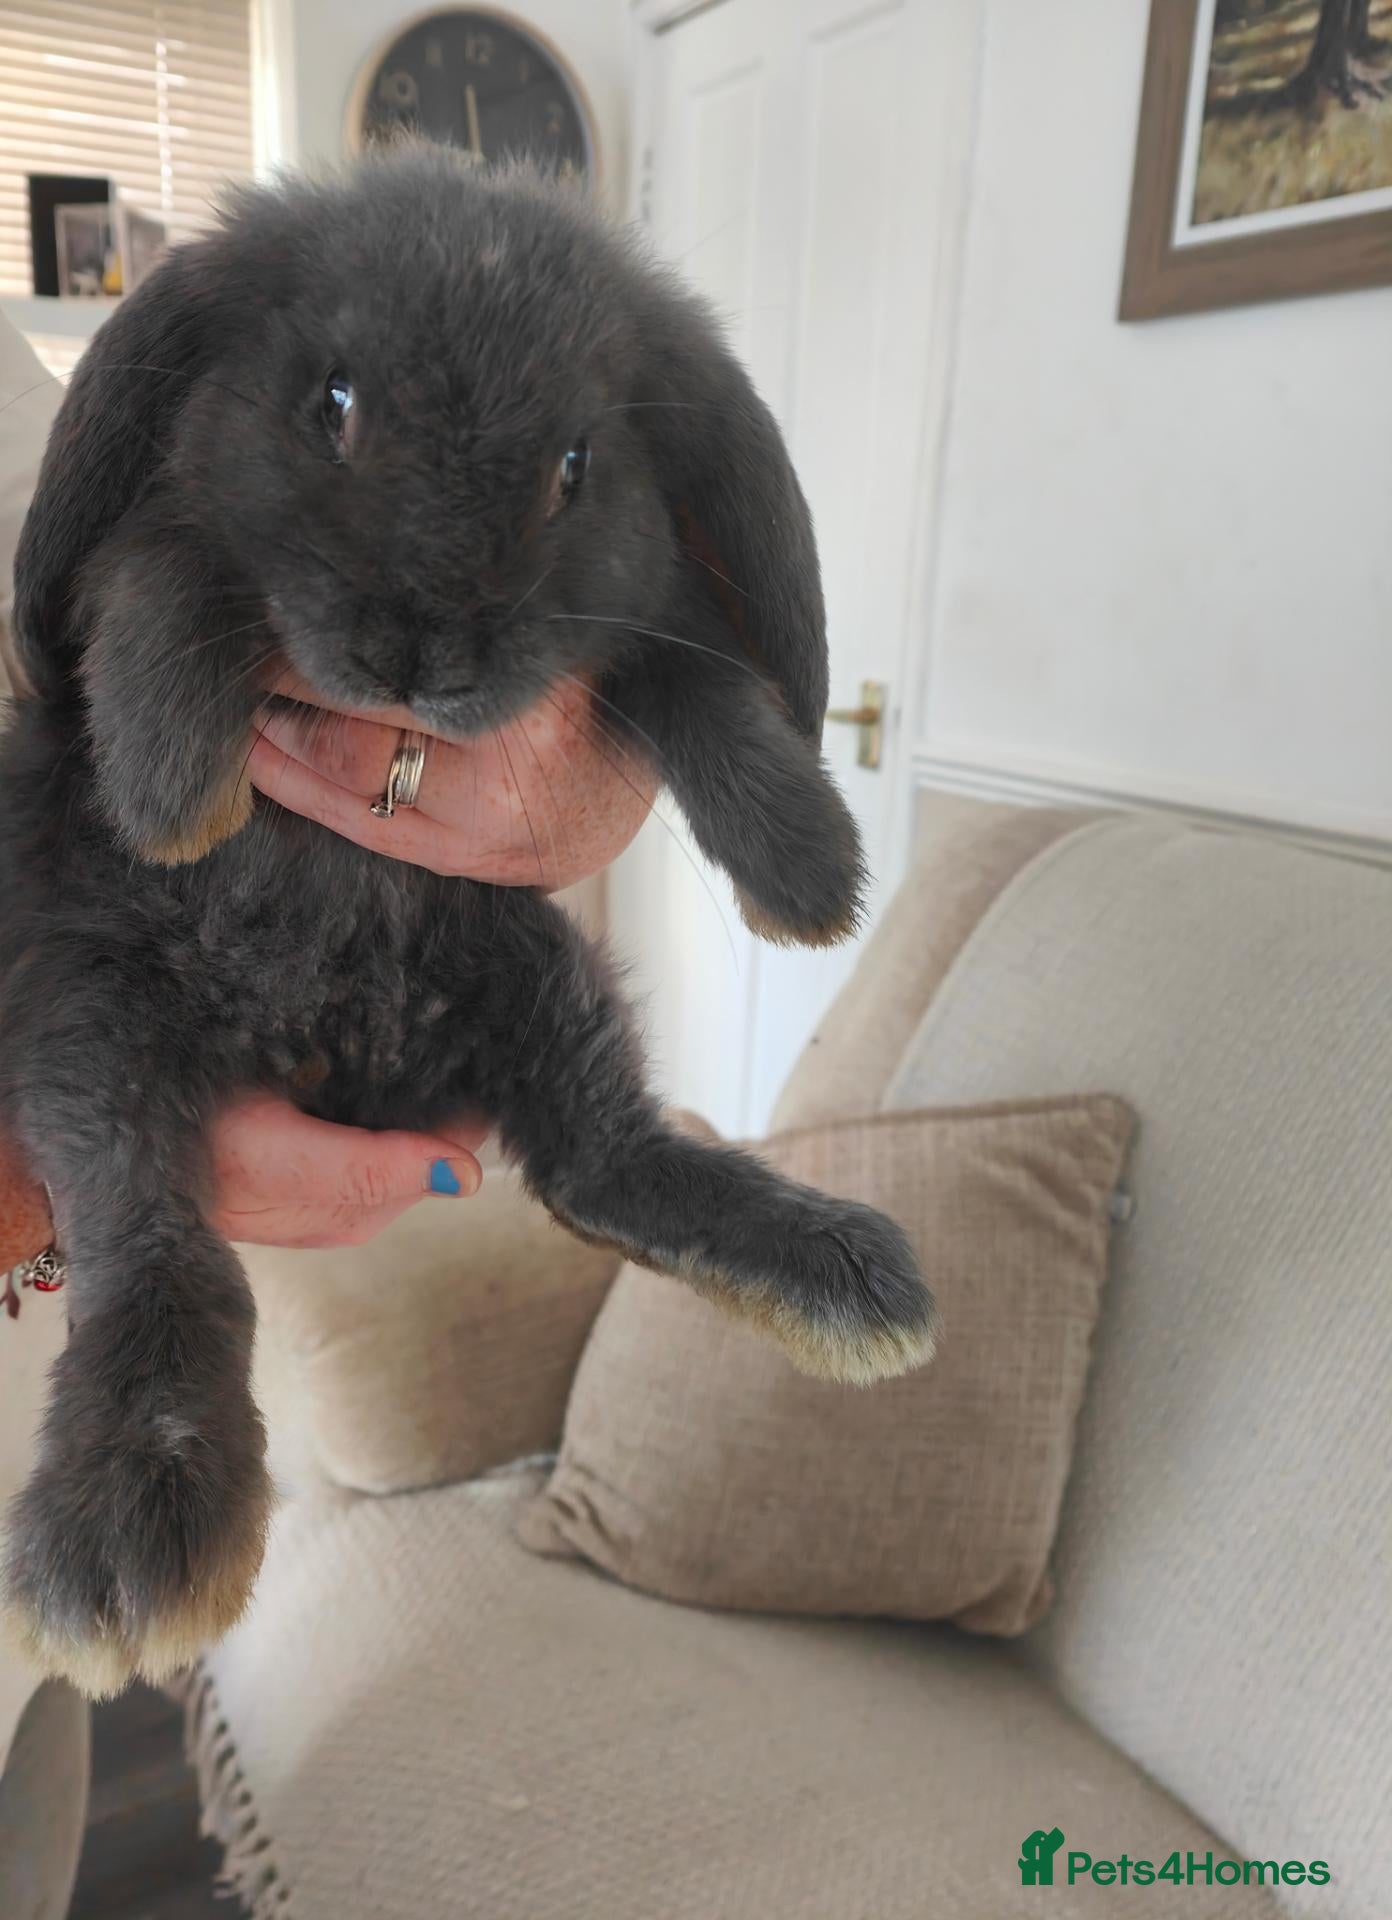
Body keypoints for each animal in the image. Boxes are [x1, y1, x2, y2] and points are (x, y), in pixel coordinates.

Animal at [0, 146, 938, 1699]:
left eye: (574, 465)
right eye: (332, 404)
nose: (423, 651)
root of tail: (346, 1061)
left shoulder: (641, 617)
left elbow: (703, 679)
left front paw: (810, 871)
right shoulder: (135, 565)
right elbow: (165, 568)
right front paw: (169, 783)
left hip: (538, 973)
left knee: (601, 1166)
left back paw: (839, 1271)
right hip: (97, 1022)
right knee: (154, 1249)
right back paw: (133, 1532)